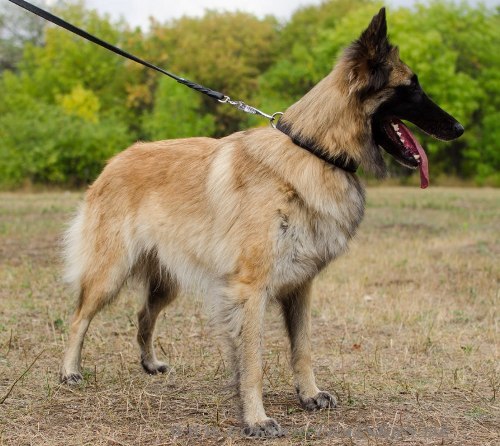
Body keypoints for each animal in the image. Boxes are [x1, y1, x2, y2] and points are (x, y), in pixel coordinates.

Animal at [61, 8, 464, 438]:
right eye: (412, 87)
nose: (459, 128)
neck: (316, 151)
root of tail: (114, 161)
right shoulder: (250, 290)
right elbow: (252, 361)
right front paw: (256, 418)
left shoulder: (301, 286)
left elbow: (302, 348)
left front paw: (309, 395)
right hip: (110, 272)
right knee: (79, 317)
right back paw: (69, 372)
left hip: (166, 281)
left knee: (143, 316)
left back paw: (150, 363)